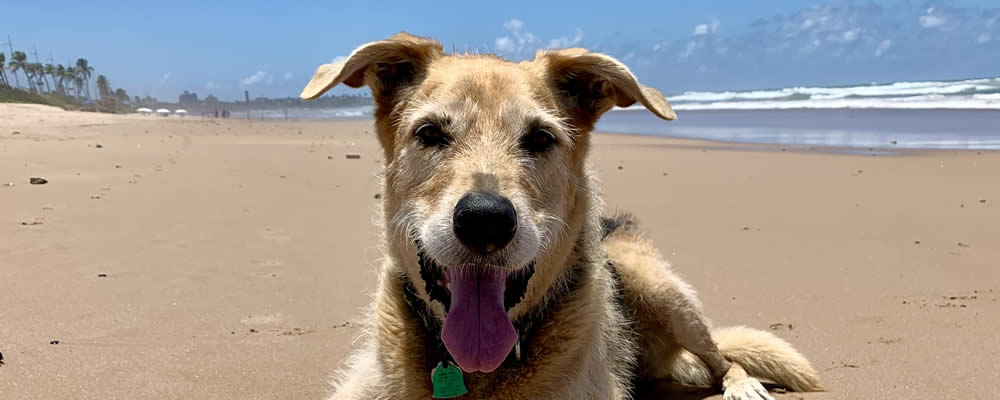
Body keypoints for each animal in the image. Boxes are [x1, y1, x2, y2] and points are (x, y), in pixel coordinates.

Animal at [300, 33, 824, 400]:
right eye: (429, 133)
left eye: (540, 138)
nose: (485, 220)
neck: (473, 369)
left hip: (658, 288)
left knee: (721, 356)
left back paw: (741, 385)